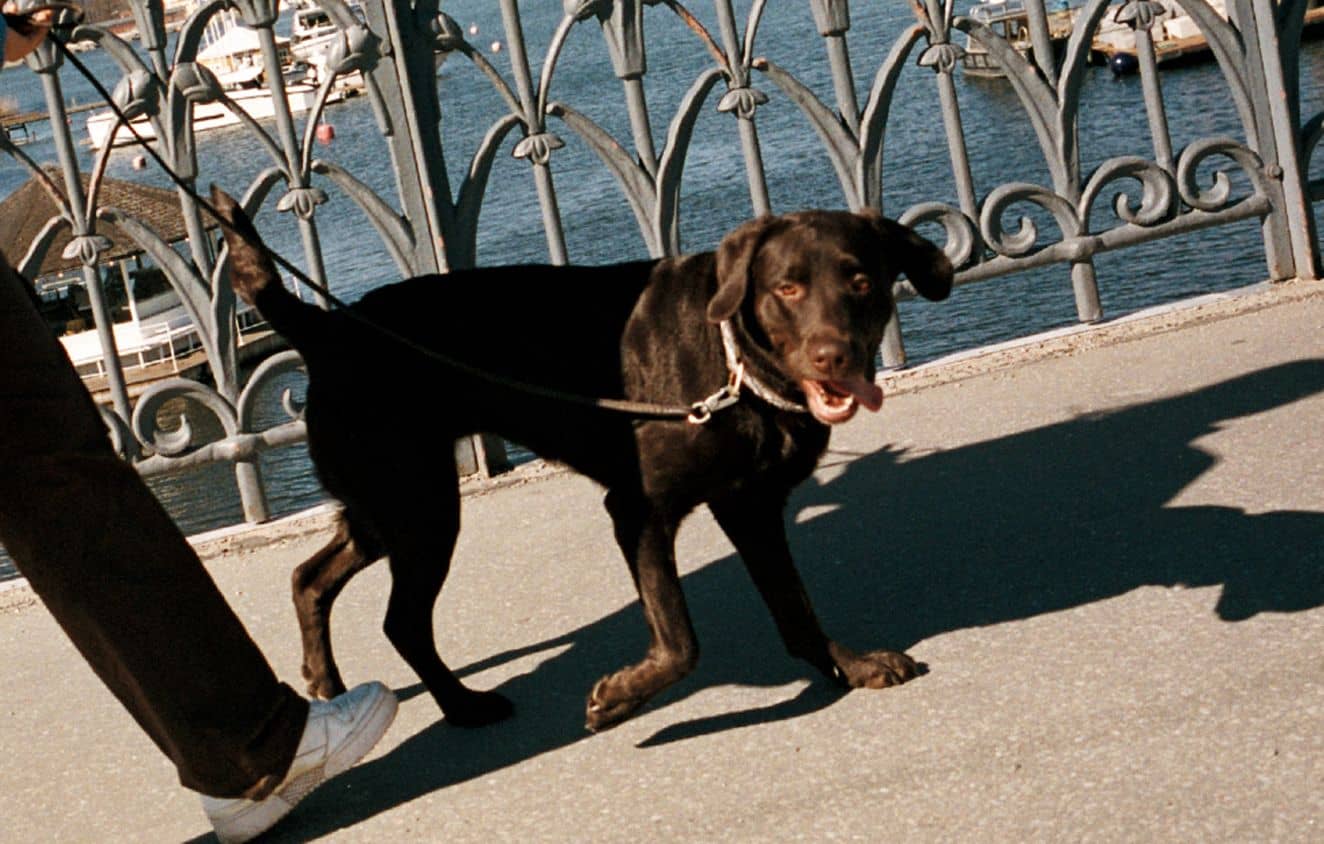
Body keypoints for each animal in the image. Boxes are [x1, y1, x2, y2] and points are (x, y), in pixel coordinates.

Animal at [211, 185, 947, 731]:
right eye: (786, 289)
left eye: (862, 281)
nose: (834, 357)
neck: (736, 365)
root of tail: (325, 326)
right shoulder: (638, 510)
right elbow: (680, 641)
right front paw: (618, 697)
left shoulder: (753, 508)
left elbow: (796, 610)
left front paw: (849, 667)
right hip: (422, 507)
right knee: (402, 622)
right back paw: (463, 706)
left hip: (387, 505)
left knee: (310, 578)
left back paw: (329, 684)